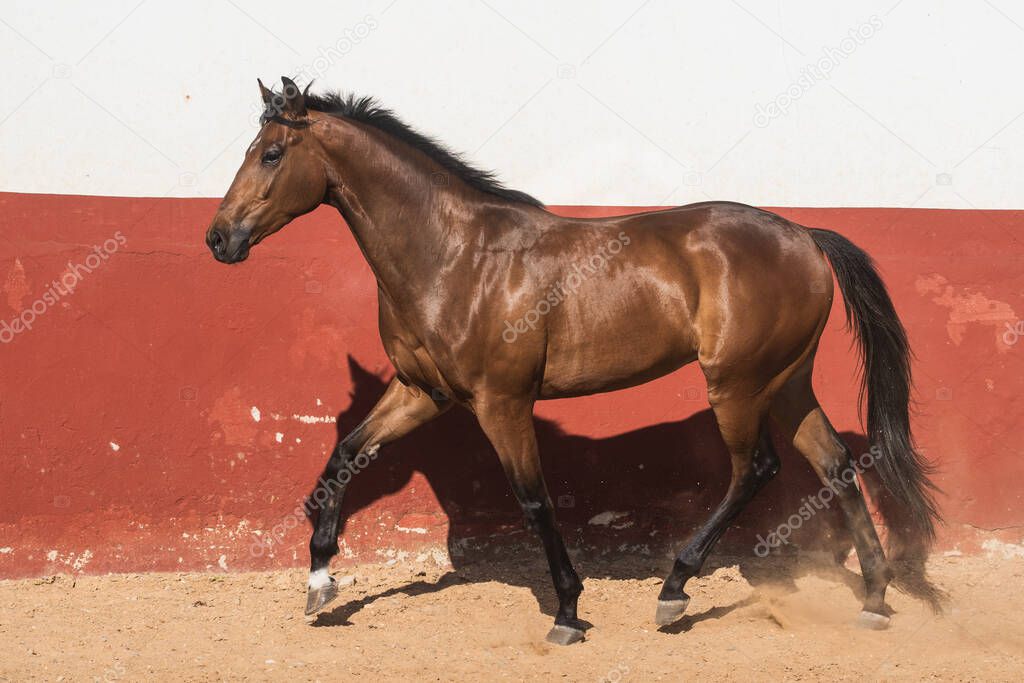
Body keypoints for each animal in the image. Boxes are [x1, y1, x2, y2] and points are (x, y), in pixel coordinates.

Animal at [209, 77, 942, 643]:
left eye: (270, 153)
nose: (219, 238)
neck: (454, 255)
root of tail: (804, 235)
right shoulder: (422, 390)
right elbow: (345, 455)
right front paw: (319, 579)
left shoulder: (501, 402)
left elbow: (533, 500)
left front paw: (567, 609)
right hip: (786, 383)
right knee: (836, 465)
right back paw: (875, 599)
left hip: (737, 384)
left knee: (754, 469)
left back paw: (675, 589)